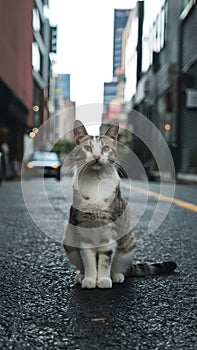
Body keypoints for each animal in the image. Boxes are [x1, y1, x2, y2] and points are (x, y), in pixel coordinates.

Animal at [62, 120, 176, 290]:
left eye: (105, 148)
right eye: (87, 148)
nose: (97, 157)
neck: (95, 182)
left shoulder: (111, 227)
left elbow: (105, 259)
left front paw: (103, 279)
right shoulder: (82, 227)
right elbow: (88, 259)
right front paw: (90, 279)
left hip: (128, 246)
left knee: (121, 267)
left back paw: (116, 276)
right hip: (69, 241)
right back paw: (81, 276)